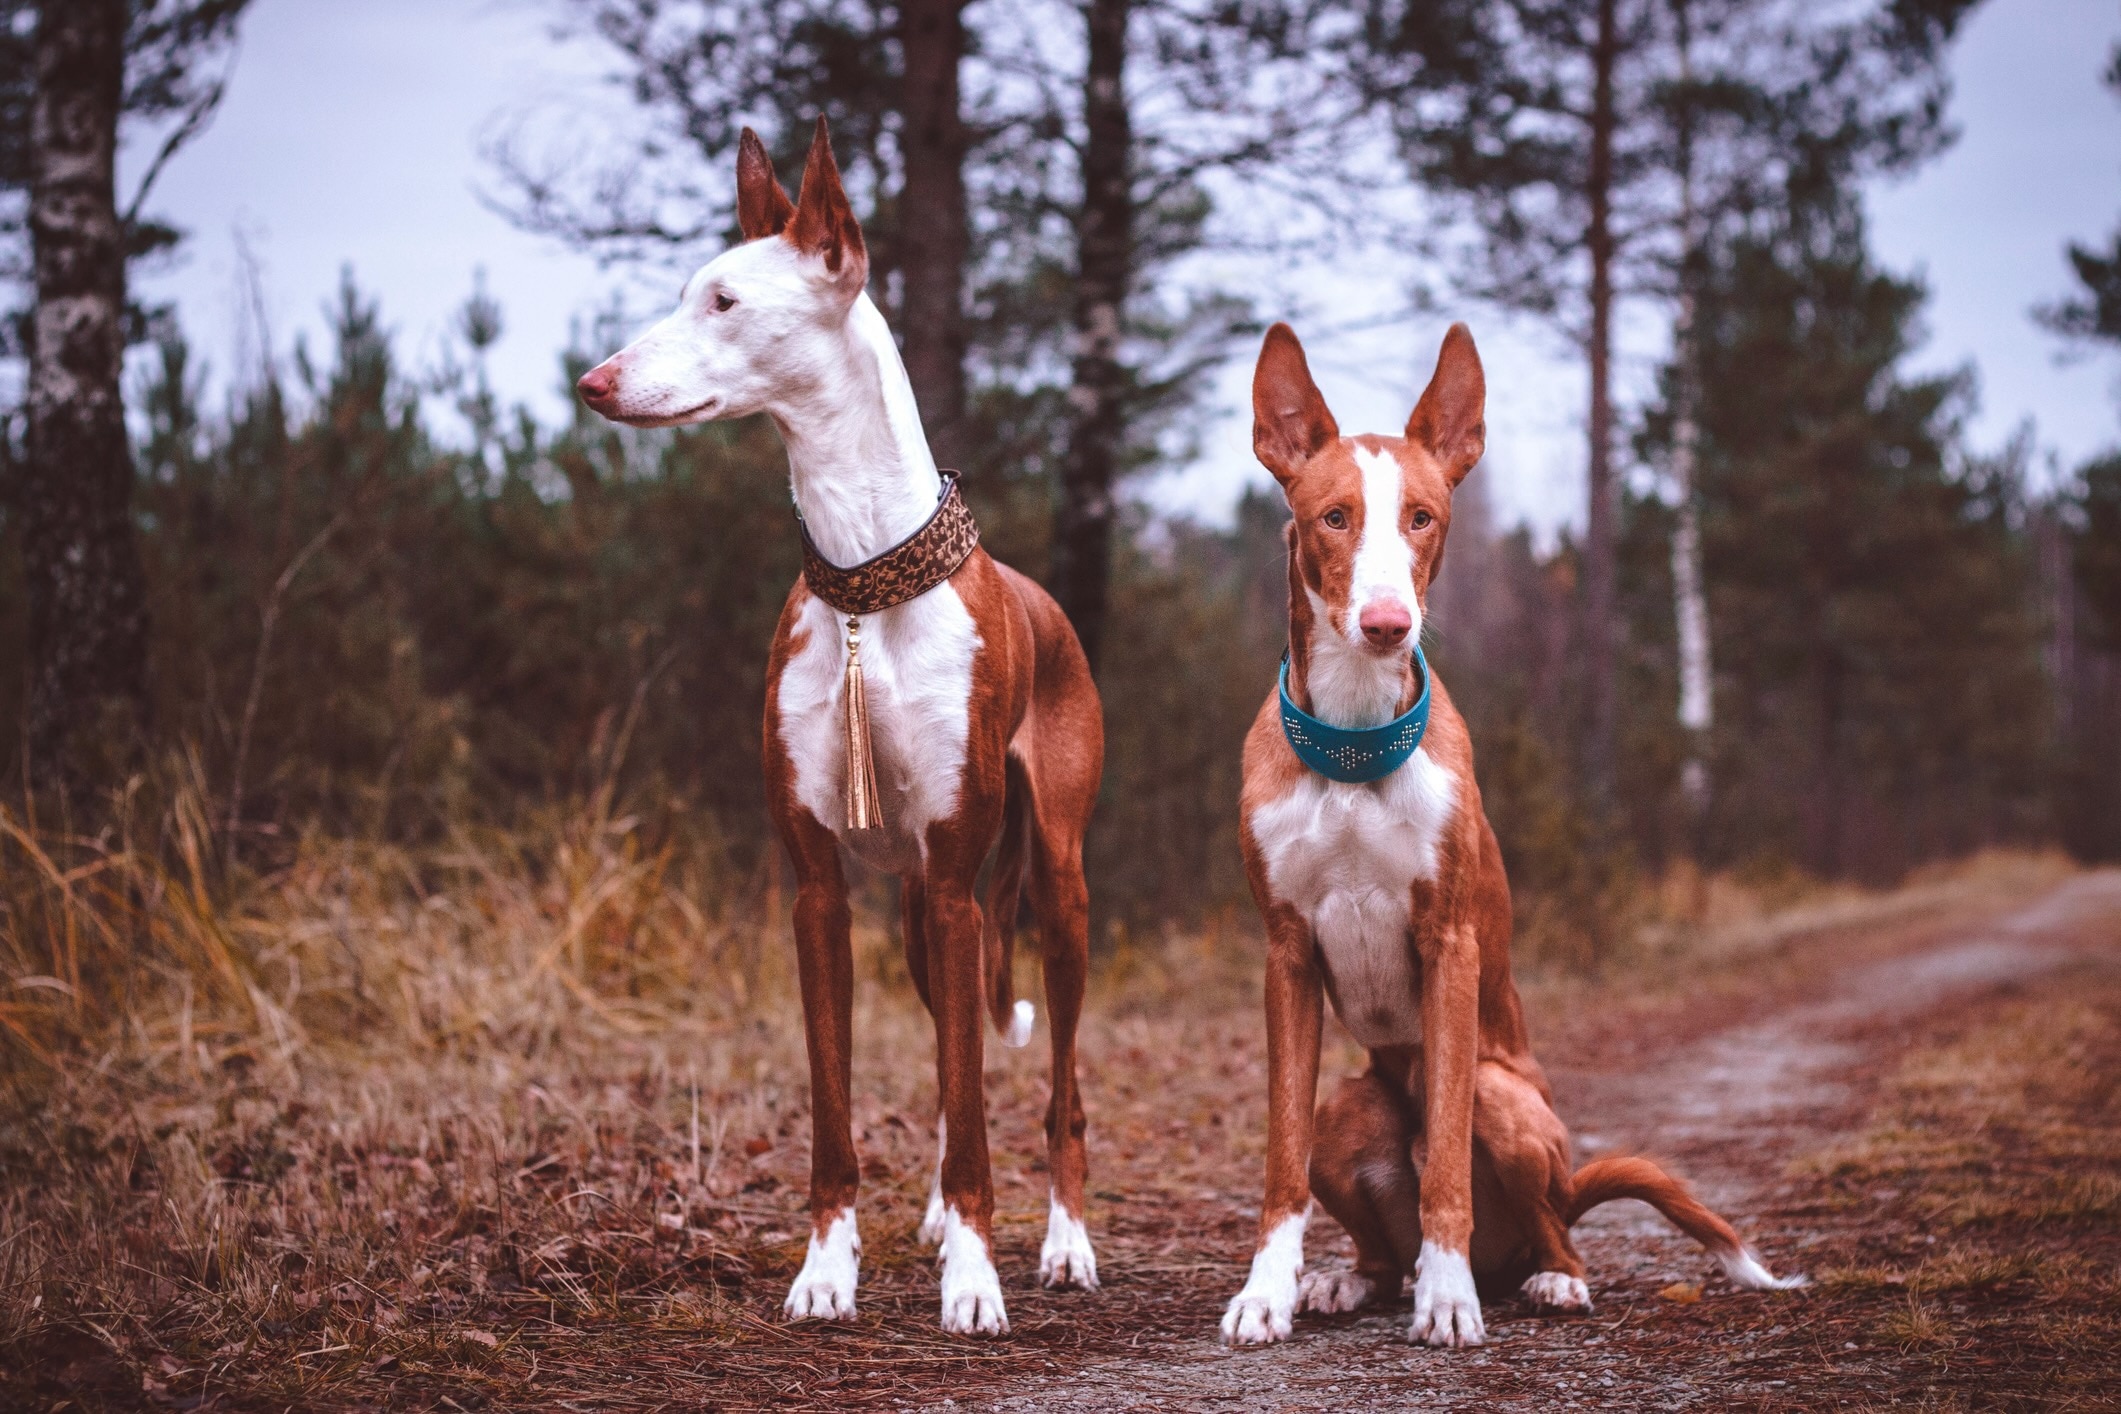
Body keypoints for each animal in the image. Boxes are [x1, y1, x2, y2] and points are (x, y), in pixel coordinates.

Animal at [581, 121, 1111, 1339]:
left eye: (724, 300)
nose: (594, 381)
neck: (866, 581)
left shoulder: (963, 881)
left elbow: (982, 1102)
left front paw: (976, 1278)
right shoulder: (820, 889)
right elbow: (844, 1106)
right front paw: (830, 1269)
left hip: (1049, 890)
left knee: (1057, 1089)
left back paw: (1063, 1242)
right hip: (921, 915)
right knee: (952, 1061)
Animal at [1221, 320, 1798, 1348]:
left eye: (1421, 518)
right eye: (1333, 518)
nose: (1386, 623)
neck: (1353, 748)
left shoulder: (1449, 945)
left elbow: (1447, 1151)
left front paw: (1448, 1301)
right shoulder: (1284, 955)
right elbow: (1278, 1158)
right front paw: (1267, 1291)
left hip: (1511, 1105)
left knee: (1545, 1224)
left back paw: (1533, 1278)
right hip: (1345, 1109)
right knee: (1379, 1240)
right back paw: (1354, 1280)